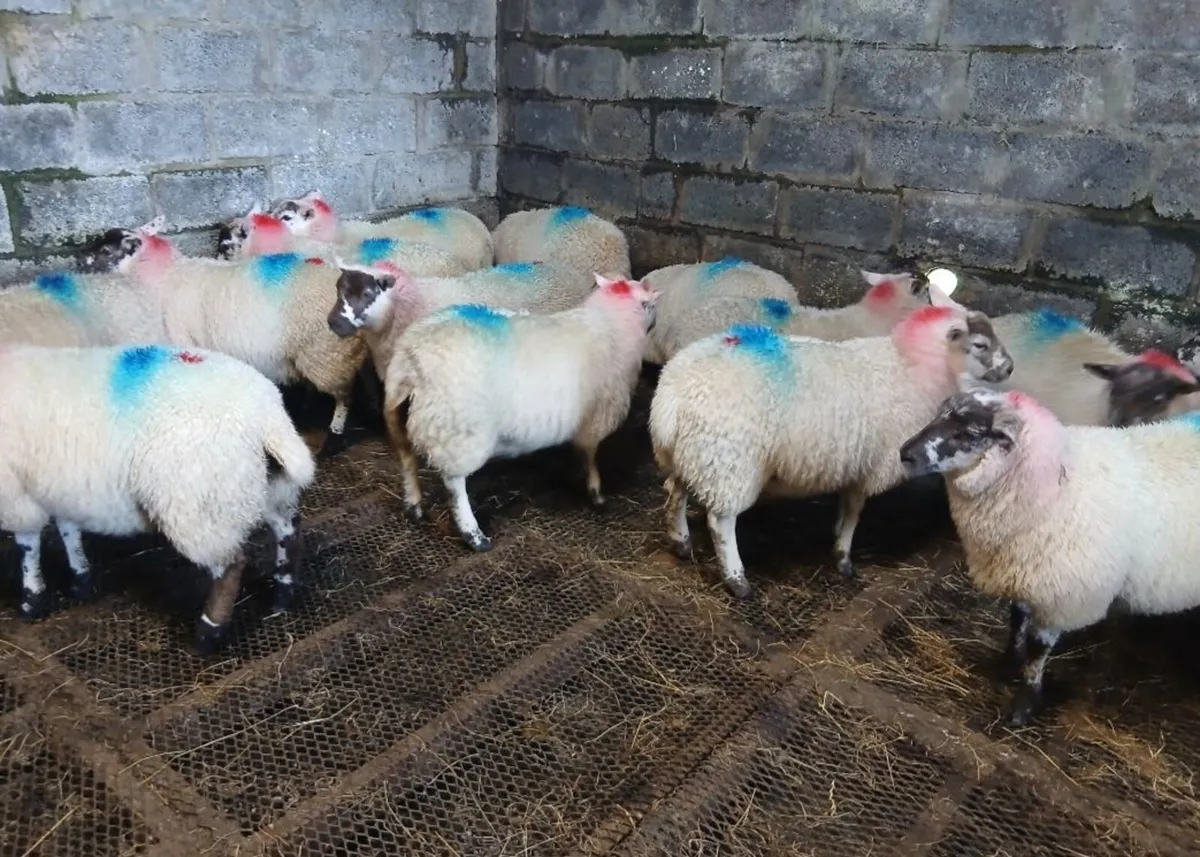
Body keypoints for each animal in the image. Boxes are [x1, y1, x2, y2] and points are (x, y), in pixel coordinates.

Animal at [0, 342, 315, 654]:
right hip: (267, 488)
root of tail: (267, 417)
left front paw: (31, 601)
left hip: (202, 506)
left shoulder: (15, 495)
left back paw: (208, 633)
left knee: (230, 567)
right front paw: (80, 580)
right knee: (288, 532)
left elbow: (28, 546)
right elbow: (68, 530)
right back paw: (283, 595)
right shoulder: (58, 487)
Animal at [77, 222, 368, 458]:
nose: (79, 262)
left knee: (345, 396)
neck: (161, 276)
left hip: (327, 353)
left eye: (106, 251)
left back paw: (333, 438)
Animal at [380, 274, 659, 551]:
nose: (655, 323)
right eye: (650, 305)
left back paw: (414, 505)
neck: (611, 322)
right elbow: (589, 456)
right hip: (458, 431)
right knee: (454, 483)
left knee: (406, 458)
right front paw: (596, 493)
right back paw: (474, 535)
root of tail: (413, 358)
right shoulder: (595, 418)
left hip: (398, 414)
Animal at [649, 300, 1014, 599]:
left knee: (676, 493)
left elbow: (844, 507)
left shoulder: (852, 463)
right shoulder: (871, 464)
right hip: (729, 462)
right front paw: (843, 558)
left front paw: (836, 536)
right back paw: (737, 580)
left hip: (691, 454)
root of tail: (674, 391)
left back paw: (680, 543)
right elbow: (854, 511)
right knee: (720, 521)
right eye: (979, 344)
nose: (1009, 368)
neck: (911, 367)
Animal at [898, 385, 1200, 726]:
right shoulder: (1023, 571)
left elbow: (1037, 648)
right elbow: (1016, 620)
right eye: (940, 414)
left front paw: (1025, 703)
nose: (905, 453)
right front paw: (1007, 664)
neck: (1056, 486)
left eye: (970, 431)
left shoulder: (1062, 595)